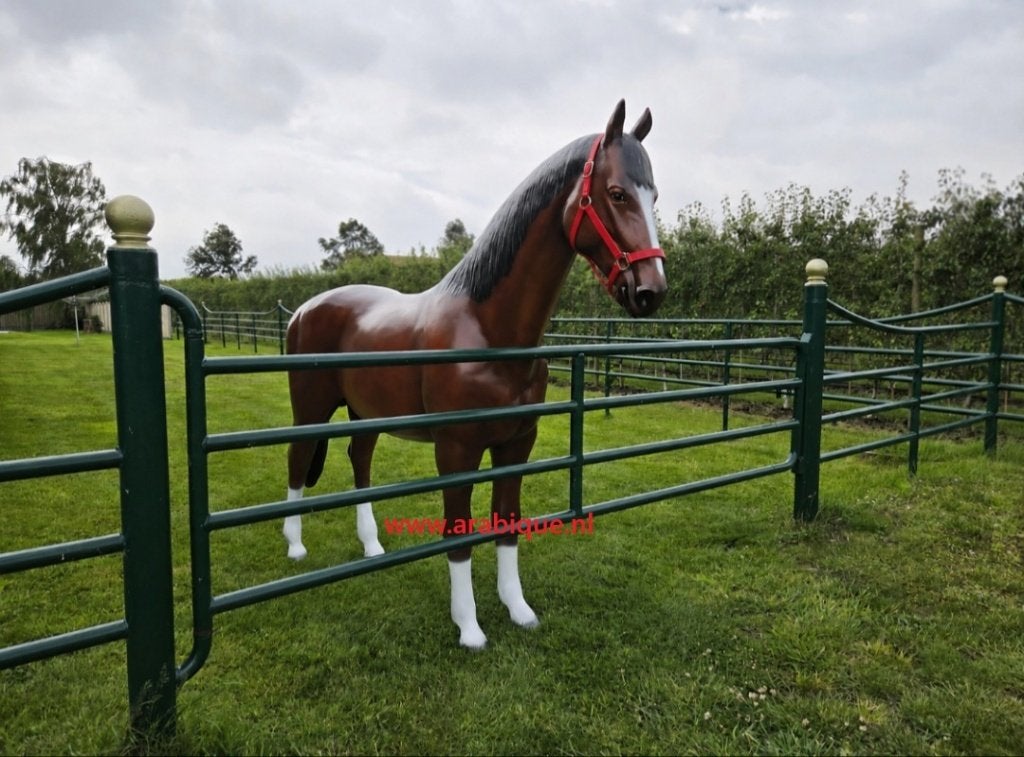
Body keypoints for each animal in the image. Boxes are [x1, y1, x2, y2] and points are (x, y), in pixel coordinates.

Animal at [283, 100, 668, 648]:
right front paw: (469, 627)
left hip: (366, 414)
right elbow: (459, 531)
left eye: (654, 195)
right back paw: (295, 547)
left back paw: (372, 546)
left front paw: (518, 608)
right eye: (616, 193)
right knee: (297, 461)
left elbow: (506, 522)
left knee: (360, 462)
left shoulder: (516, 444)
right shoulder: (457, 449)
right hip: (310, 409)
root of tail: (303, 308)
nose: (651, 290)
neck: (488, 328)